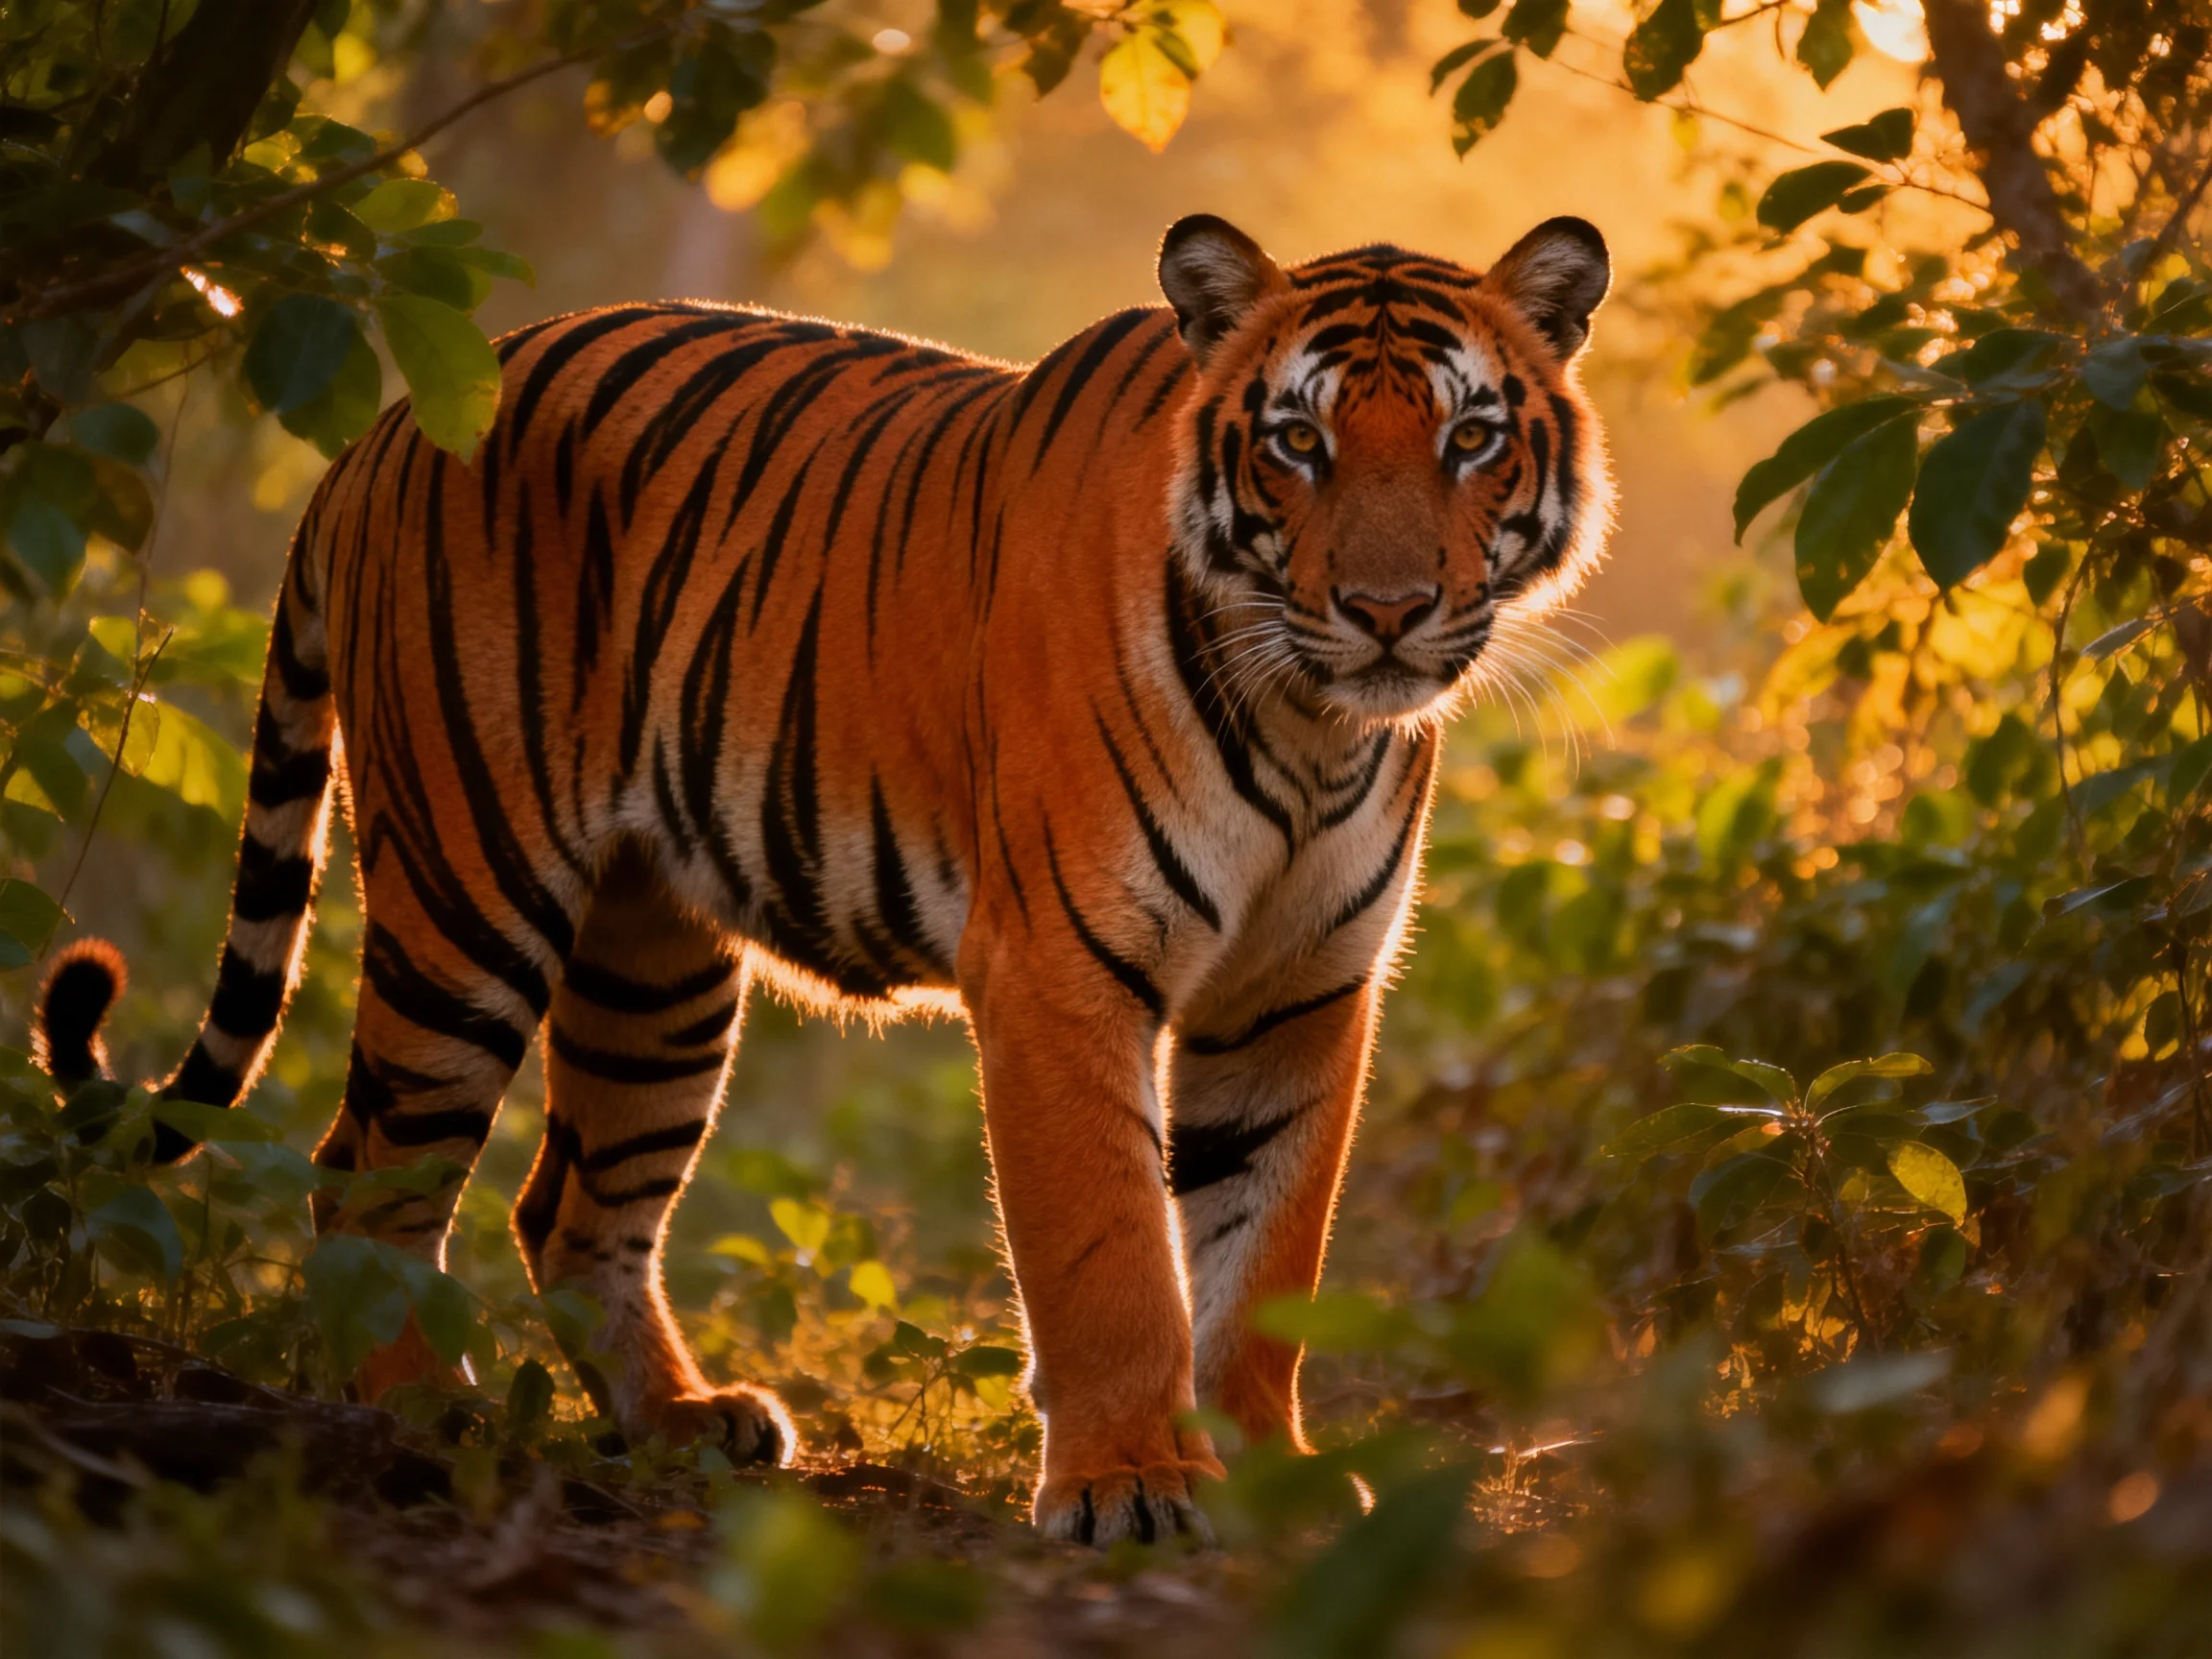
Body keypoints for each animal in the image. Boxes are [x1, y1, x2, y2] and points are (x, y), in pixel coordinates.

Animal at [37, 212, 1612, 1545]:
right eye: (1297, 441)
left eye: (1473, 438)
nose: (1389, 611)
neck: (1312, 726)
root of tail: (379, 430)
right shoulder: (1060, 969)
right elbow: (1110, 1251)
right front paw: (1131, 1486)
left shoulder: (1297, 993)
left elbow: (1266, 1249)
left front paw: (1267, 1474)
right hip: (469, 891)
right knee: (364, 1173)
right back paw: (429, 1417)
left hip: (653, 962)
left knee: (572, 1203)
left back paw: (683, 1421)